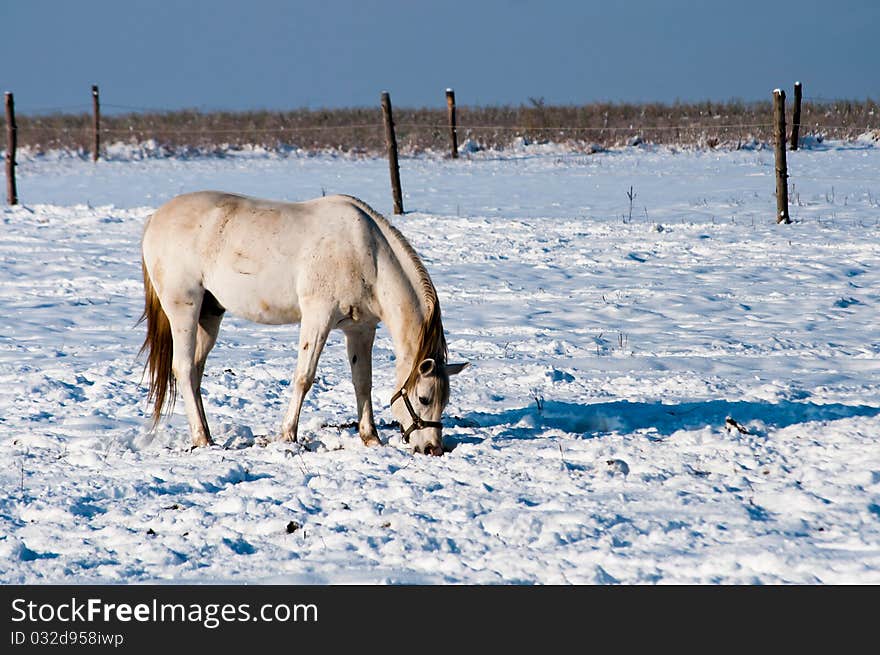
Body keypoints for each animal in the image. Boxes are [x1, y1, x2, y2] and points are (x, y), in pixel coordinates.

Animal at [138, 192, 468, 454]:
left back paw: (205, 433)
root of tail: (155, 219)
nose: (433, 449)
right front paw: (288, 435)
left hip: (210, 314)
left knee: (195, 372)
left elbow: (363, 382)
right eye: (424, 398)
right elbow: (304, 377)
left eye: (445, 400)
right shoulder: (317, 317)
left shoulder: (360, 330)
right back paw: (202, 438)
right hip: (184, 309)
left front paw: (371, 437)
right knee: (183, 368)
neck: (366, 253)